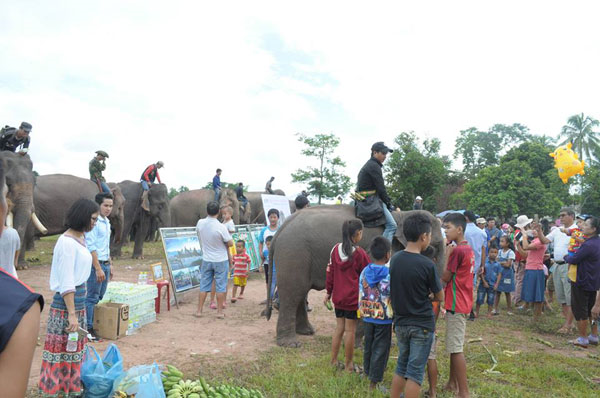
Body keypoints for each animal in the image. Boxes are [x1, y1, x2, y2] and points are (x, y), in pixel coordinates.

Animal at [266, 207, 446, 346]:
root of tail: (281, 228)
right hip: (294, 253)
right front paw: (360, 344)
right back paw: (291, 343)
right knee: (293, 293)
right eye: (432, 249)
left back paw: (307, 332)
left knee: (300, 292)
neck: (402, 215)